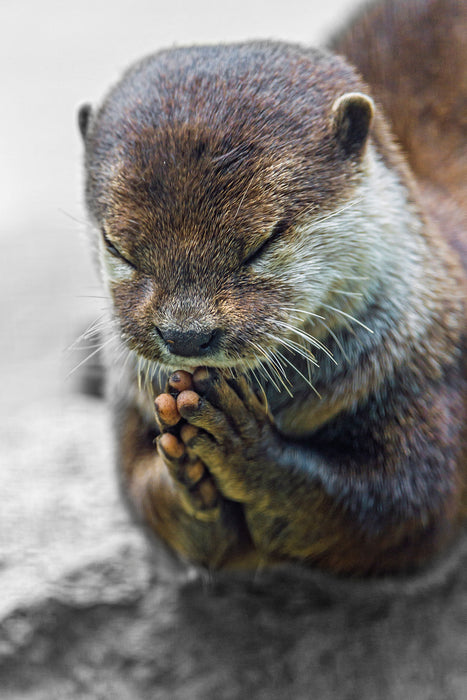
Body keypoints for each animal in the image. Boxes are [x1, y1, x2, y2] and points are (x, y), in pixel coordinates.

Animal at [78, 0, 466, 576]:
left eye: (263, 242)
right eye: (118, 246)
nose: (186, 335)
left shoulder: (434, 376)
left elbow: (404, 508)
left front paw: (246, 448)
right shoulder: (129, 405)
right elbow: (141, 493)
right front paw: (187, 479)